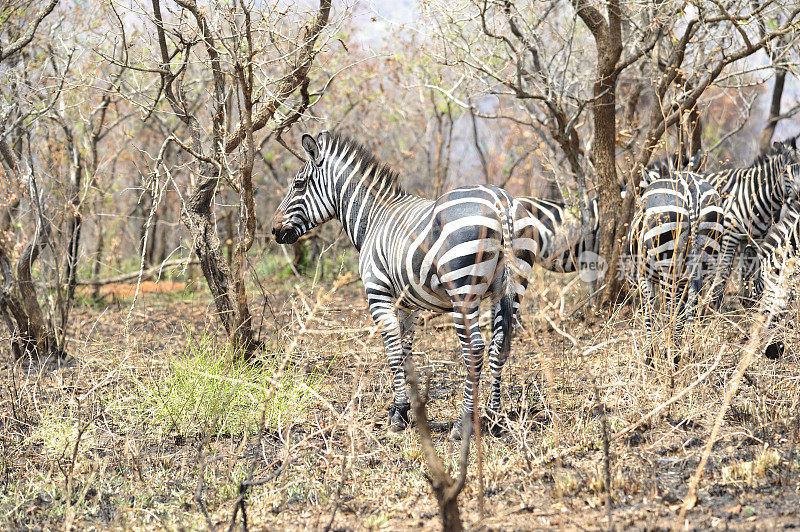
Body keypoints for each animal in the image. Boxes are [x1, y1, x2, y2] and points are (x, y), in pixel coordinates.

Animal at [270, 132, 536, 440]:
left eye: (298, 184)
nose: (274, 231)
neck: (373, 218)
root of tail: (501, 200)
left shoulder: (377, 291)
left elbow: (393, 349)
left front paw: (397, 413)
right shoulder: (408, 304)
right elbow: (406, 350)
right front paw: (411, 406)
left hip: (463, 290)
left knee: (475, 349)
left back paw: (463, 423)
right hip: (510, 289)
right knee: (498, 346)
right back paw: (494, 417)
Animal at [628, 172, 728, 364]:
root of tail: (692, 190)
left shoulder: (643, 275)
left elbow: (649, 312)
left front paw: (650, 356)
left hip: (668, 262)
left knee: (671, 310)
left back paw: (671, 356)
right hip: (706, 253)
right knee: (694, 308)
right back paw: (690, 353)